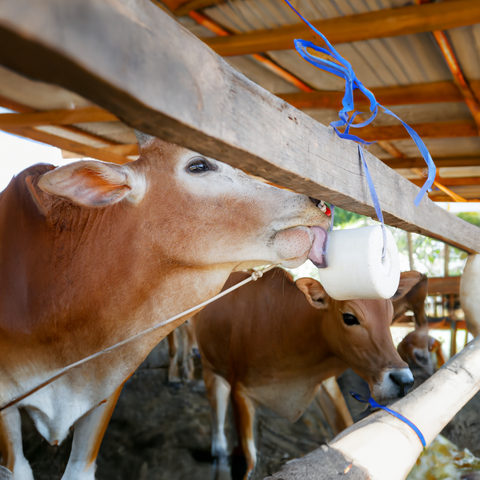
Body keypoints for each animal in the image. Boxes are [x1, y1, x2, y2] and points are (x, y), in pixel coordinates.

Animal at [195, 268, 420, 478]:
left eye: (390, 316)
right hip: (211, 367)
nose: (404, 381)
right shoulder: (240, 390)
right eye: (349, 317)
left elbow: (345, 426)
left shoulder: (324, 382)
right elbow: (250, 462)